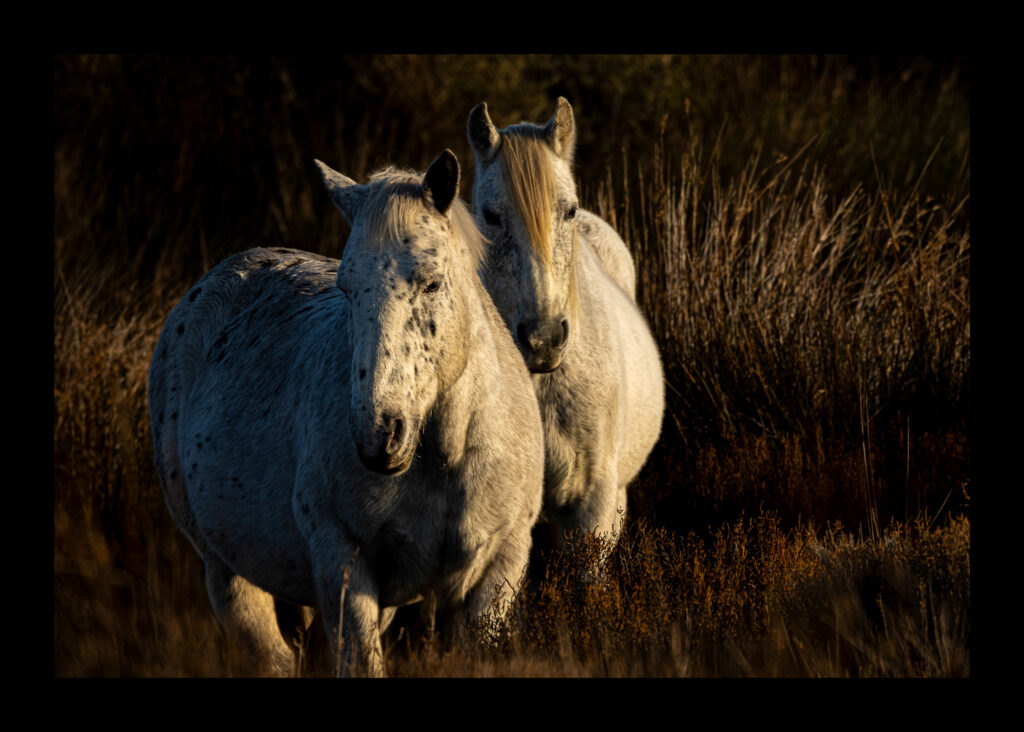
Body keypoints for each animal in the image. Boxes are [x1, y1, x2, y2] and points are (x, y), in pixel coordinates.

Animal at [148, 150, 544, 677]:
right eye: (347, 288)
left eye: (432, 283)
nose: (379, 432)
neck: (448, 458)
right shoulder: (345, 568)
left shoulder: (498, 570)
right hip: (227, 571)